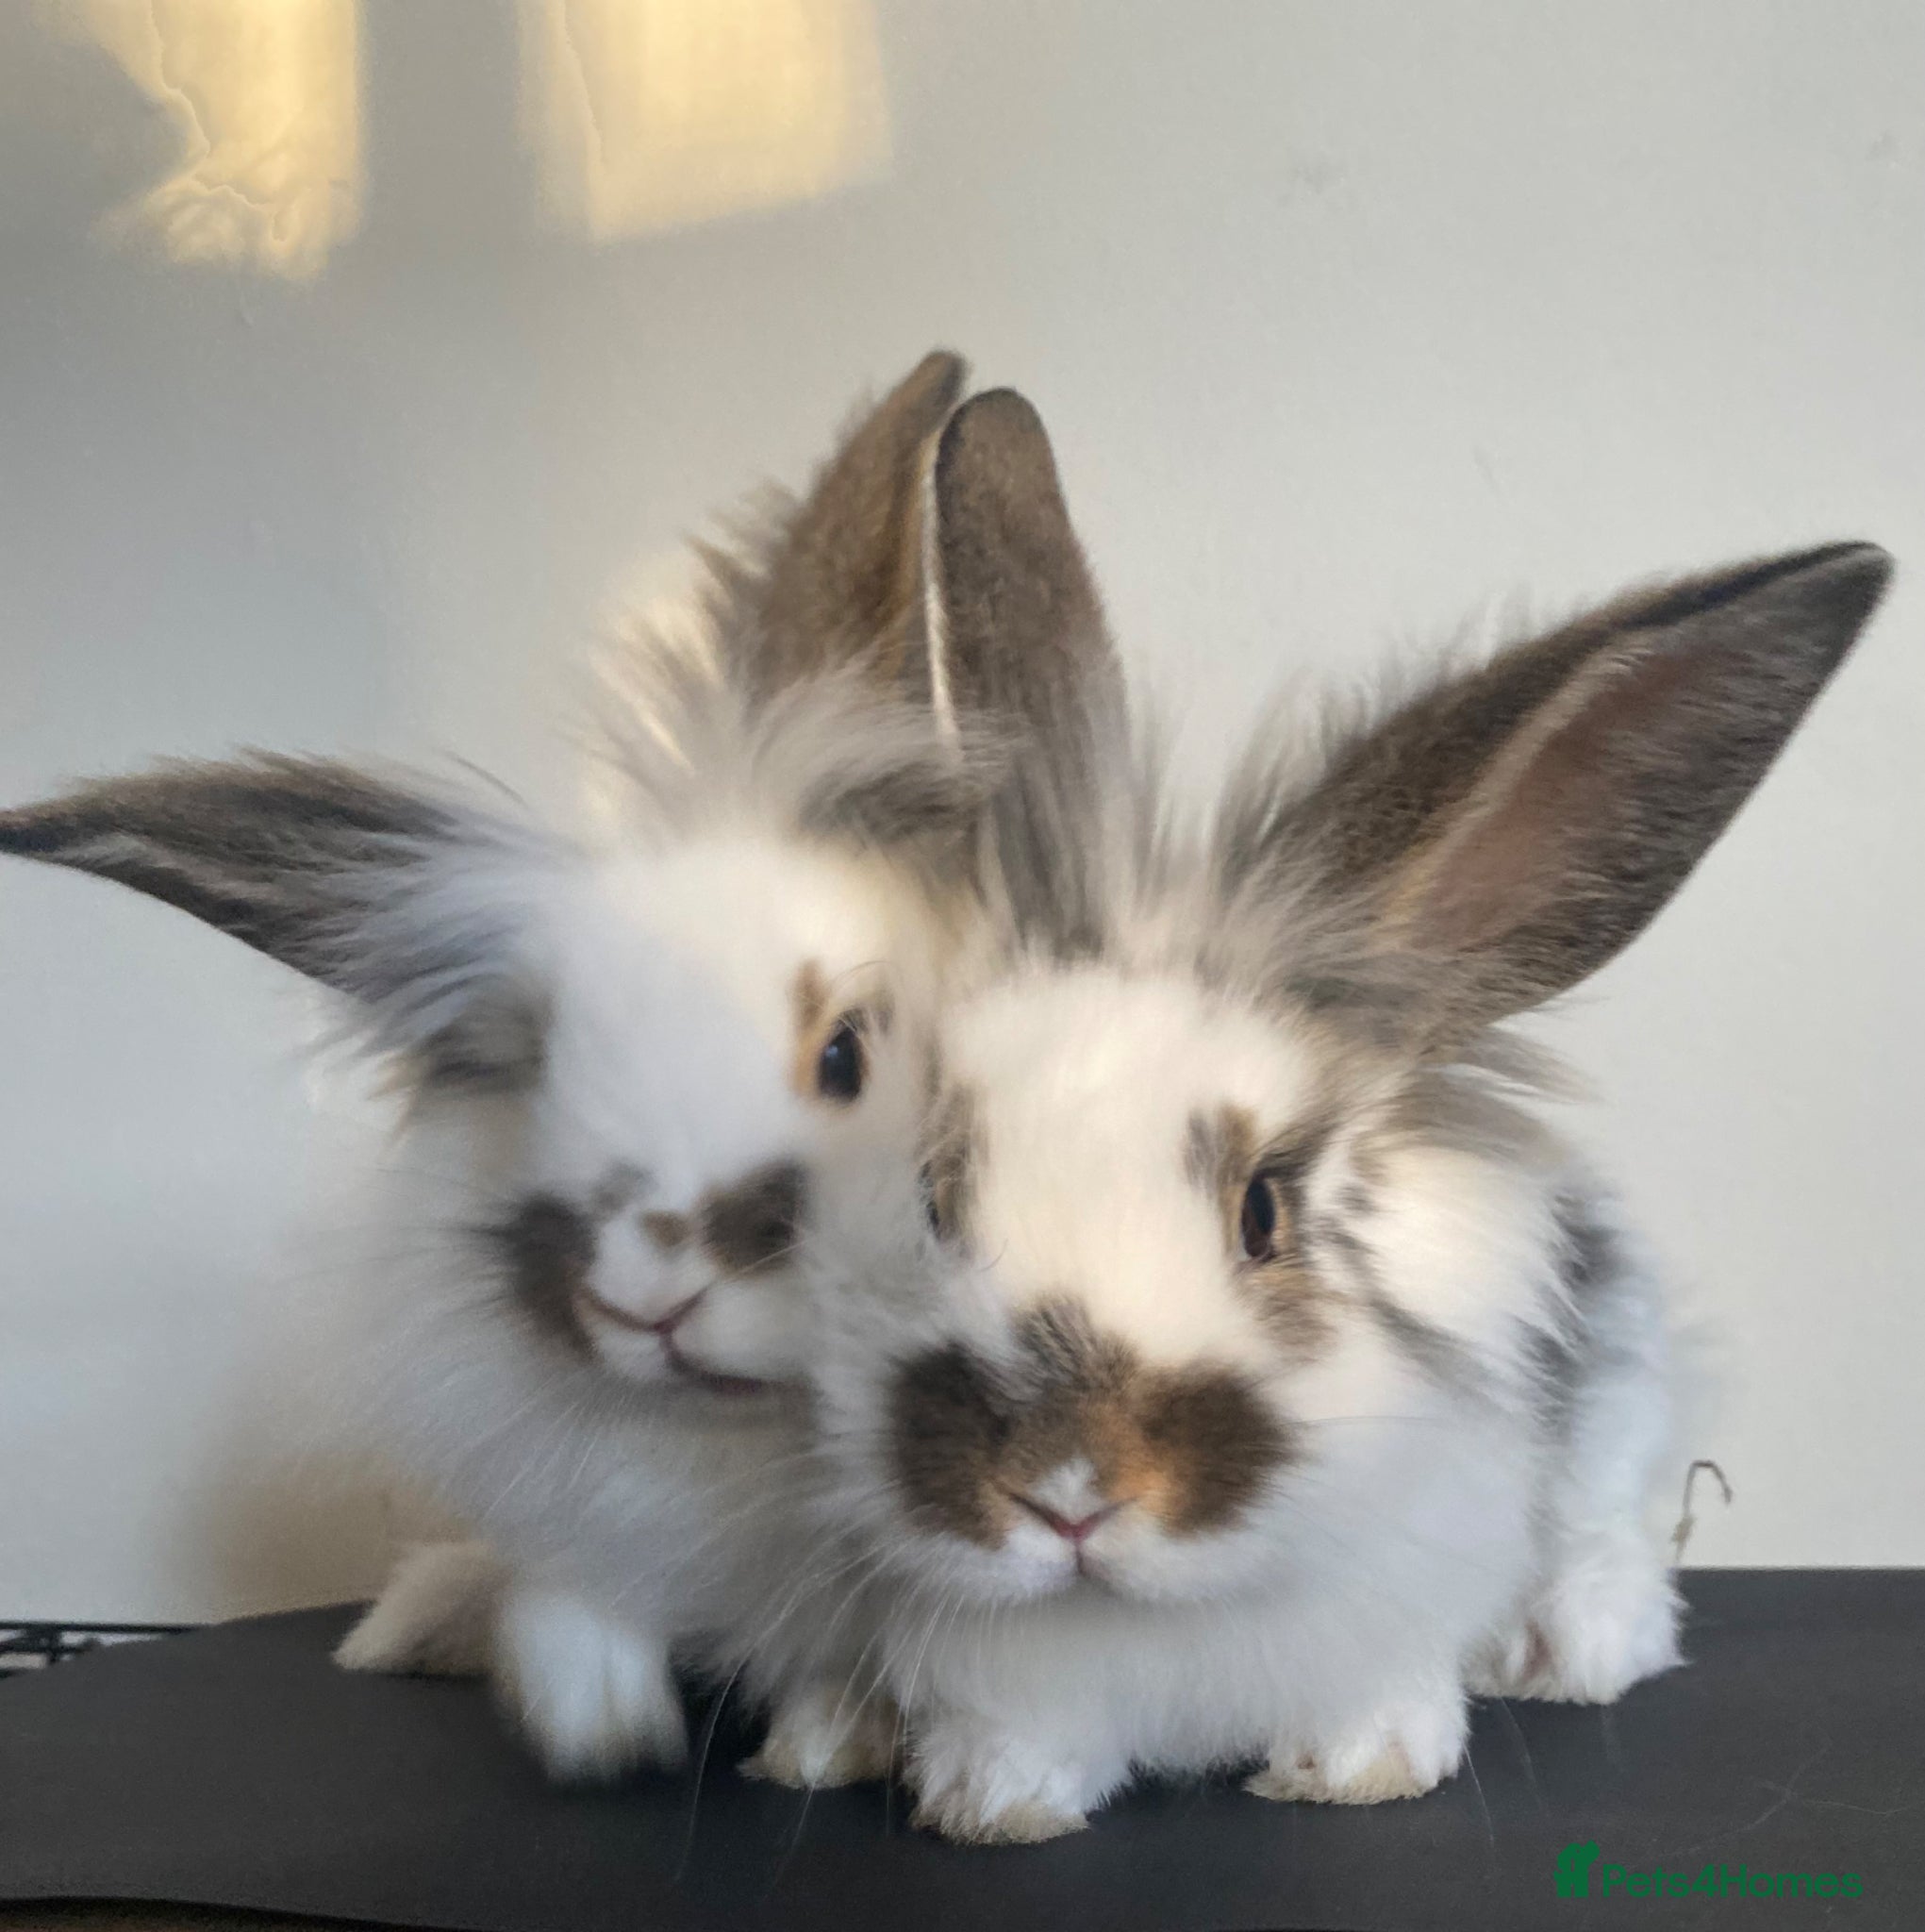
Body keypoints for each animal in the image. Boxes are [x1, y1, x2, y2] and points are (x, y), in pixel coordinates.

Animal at [0, 352, 1120, 1790]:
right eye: (537, 1066)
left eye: (846, 1051)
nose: (646, 1293)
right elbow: (562, 1609)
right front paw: (597, 1724)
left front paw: (822, 1745)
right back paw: (403, 1628)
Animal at [798, 399, 1892, 1841]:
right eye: (928, 1196)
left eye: (1264, 1211)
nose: (1070, 1486)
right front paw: (991, 1802)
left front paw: (1361, 1771)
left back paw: (1569, 1649)